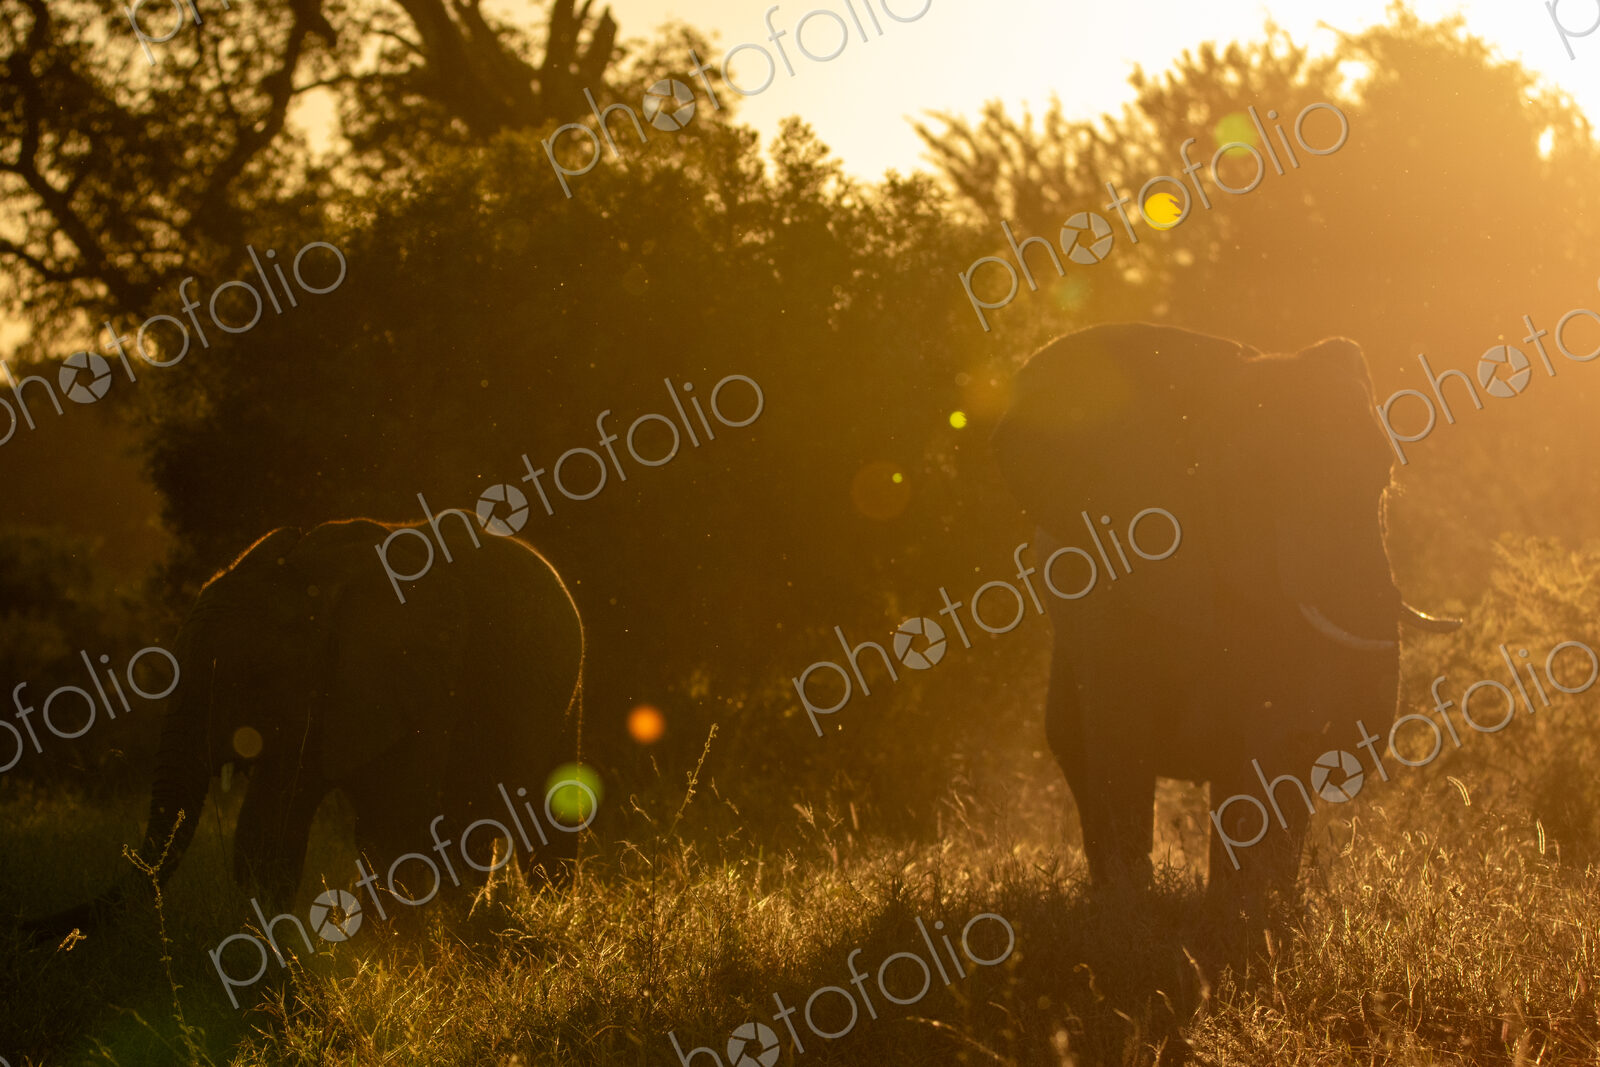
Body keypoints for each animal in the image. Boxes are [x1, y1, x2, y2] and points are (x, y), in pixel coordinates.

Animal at [28, 518, 585, 937]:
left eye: (253, 676)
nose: (25, 929)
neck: (312, 579)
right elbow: (269, 826)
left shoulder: (423, 684)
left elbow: (396, 823)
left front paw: (391, 956)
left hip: (568, 688)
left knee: (541, 811)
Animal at [991, 323, 1457, 930]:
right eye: (1258, 481)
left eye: (1384, 479)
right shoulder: (1117, 588)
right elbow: (1120, 738)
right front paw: (1132, 915)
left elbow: (1274, 738)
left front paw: (1243, 918)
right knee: (1073, 741)